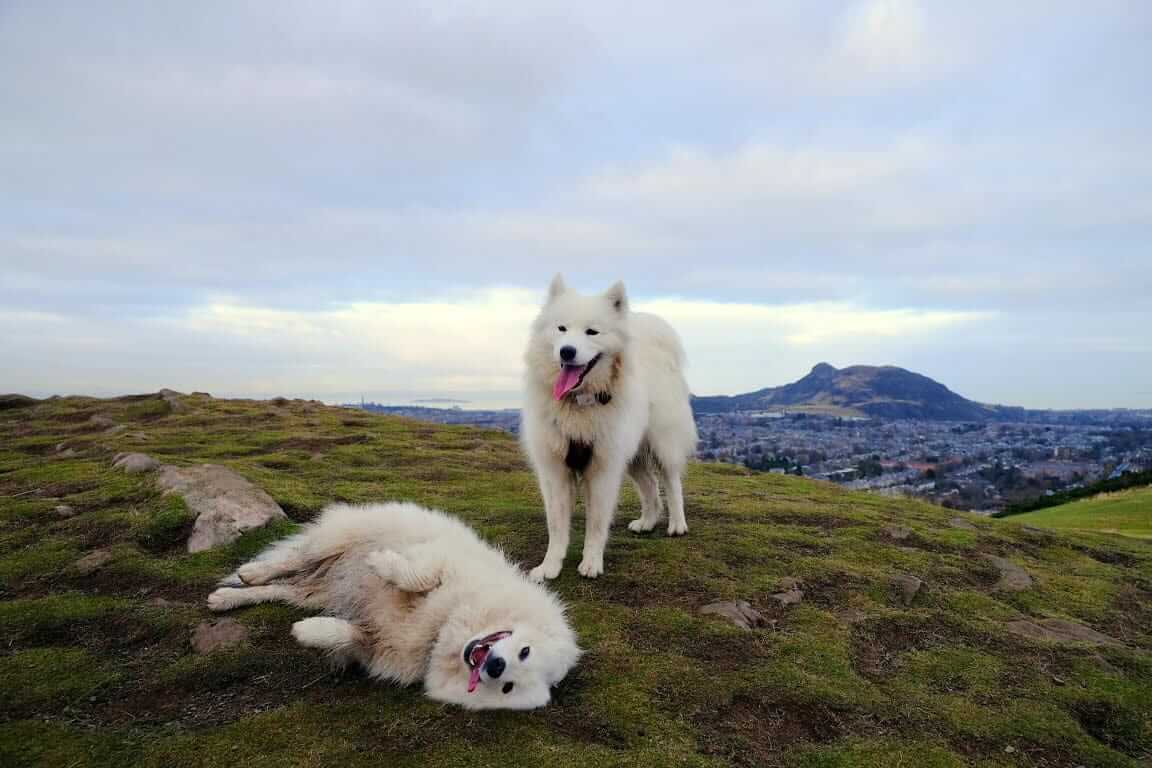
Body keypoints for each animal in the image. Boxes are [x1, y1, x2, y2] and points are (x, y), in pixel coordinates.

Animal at [205, 502, 576, 713]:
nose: (497, 667)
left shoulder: (376, 646)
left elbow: (349, 635)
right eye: (525, 651)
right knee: (291, 560)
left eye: (508, 688)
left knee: (279, 589)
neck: (441, 630)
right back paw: (251, 572)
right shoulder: (442, 560)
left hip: (312, 593)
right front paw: (381, 563)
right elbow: (417, 577)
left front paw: (308, 631)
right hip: (333, 543)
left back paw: (226, 597)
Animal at [525, 279, 700, 580]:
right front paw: (550, 566)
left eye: (592, 332)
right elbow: (557, 527)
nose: (566, 351)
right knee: (650, 485)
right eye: (561, 328)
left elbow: (596, 525)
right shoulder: (555, 471)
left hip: (662, 443)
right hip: (631, 455)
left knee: (671, 482)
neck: (578, 404)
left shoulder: (602, 472)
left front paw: (591, 563)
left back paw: (677, 525)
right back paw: (647, 522)